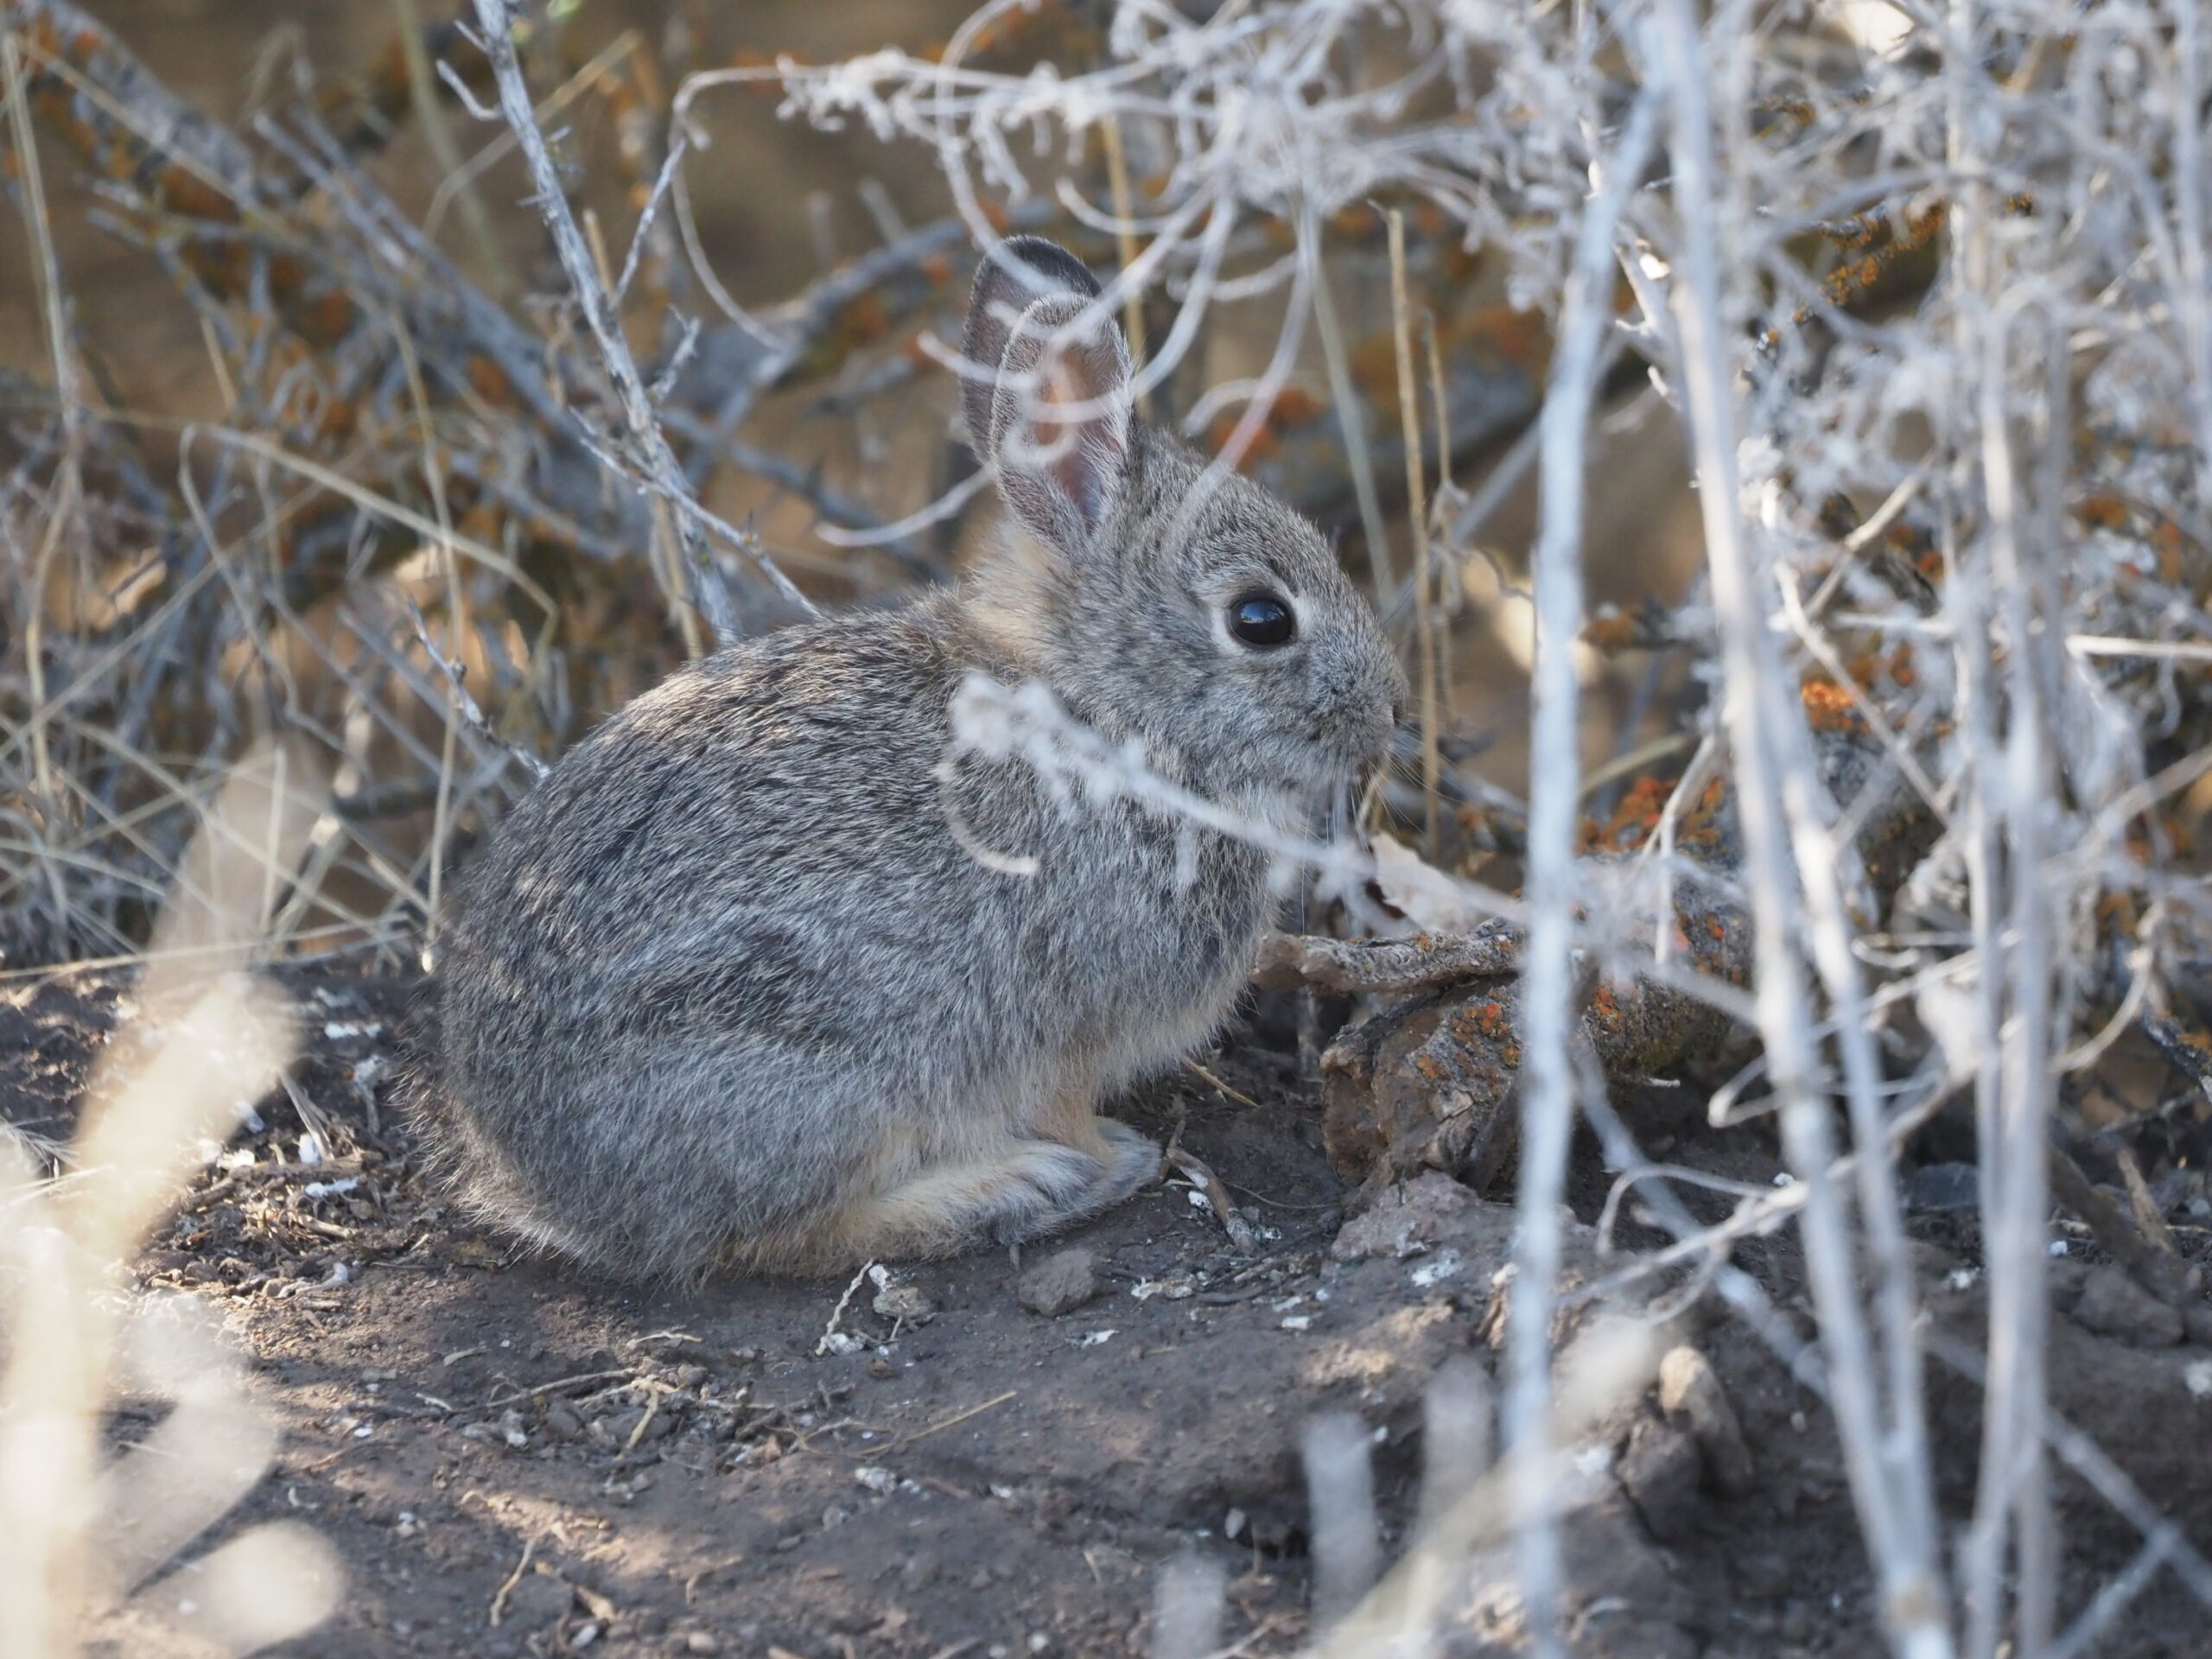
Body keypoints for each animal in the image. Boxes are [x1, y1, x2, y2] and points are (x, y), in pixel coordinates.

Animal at [417, 234, 1397, 1282]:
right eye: (1261, 620)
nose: (1386, 713)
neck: (1105, 710)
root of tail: (530, 1172)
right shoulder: (1067, 1022)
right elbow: (1062, 1101)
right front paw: (1109, 1156)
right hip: (814, 1068)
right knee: (785, 1236)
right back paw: (1012, 1189)